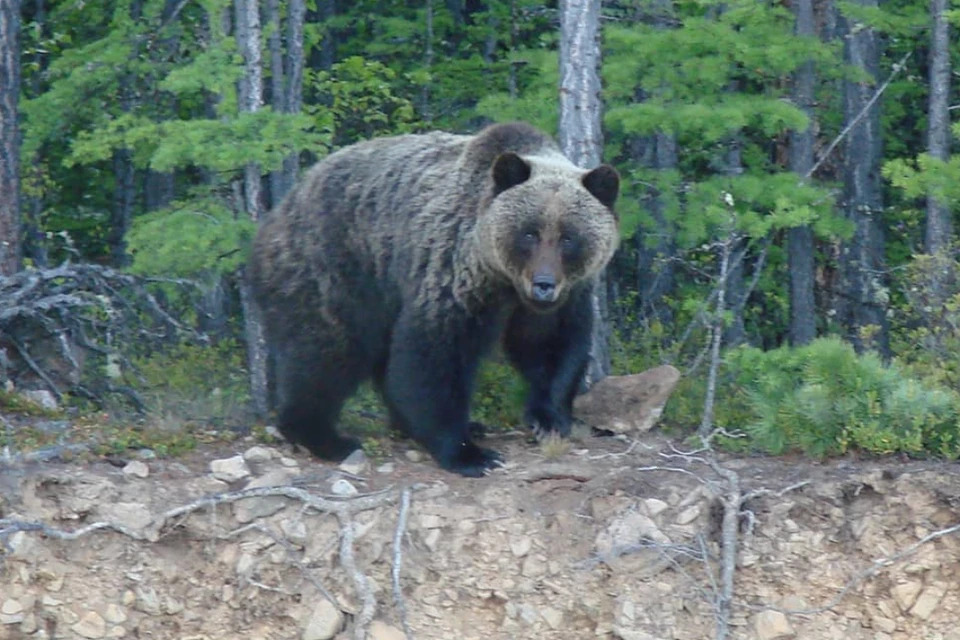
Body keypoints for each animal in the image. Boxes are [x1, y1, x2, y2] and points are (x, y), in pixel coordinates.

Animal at [248, 122, 620, 478]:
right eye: (529, 233)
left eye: (569, 237)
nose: (544, 285)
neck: (503, 280)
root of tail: (278, 212)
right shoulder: (454, 276)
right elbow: (432, 358)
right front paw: (470, 454)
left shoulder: (558, 299)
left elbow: (553, 348)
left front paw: (549, 418)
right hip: (335, 273)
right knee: (325, 354)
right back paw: (325, 436)